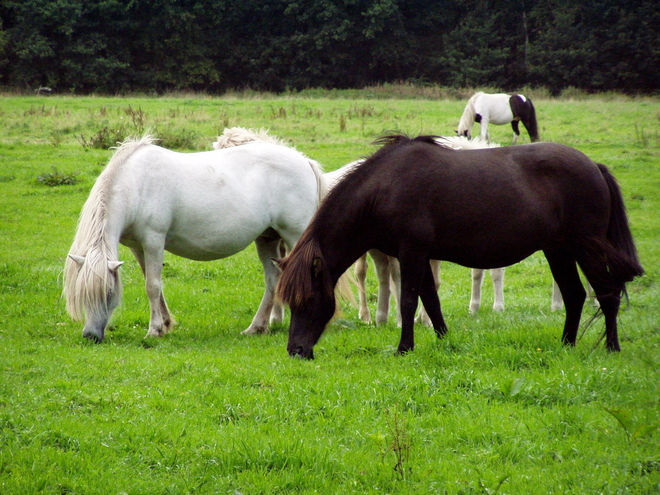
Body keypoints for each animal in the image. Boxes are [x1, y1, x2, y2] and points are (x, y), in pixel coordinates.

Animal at [64, 136, 328, 344]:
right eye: (81, 294)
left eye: (109, 293)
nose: (90, 336)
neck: (136, 185)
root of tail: (304, 161)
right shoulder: (138, 247)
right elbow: (153, 283)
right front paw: (165, 324)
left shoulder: (154, 240)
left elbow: (152, 285)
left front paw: (154, 330)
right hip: (268, 238)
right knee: (274, 279)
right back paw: (257, 327)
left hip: (295, 235)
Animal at [276, 136, 640, 360]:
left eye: (308, 300)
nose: (296, 350)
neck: (385, 188)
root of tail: (594, 167)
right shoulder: (419, 255)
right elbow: (431, 301)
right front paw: (442, 340)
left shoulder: (412, 252)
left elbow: (409, 302)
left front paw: (404, 348)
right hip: (558, 250)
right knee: (575, 295)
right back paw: (566, 345)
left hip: (585, 247)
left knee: (607, 294)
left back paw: (611, 348)